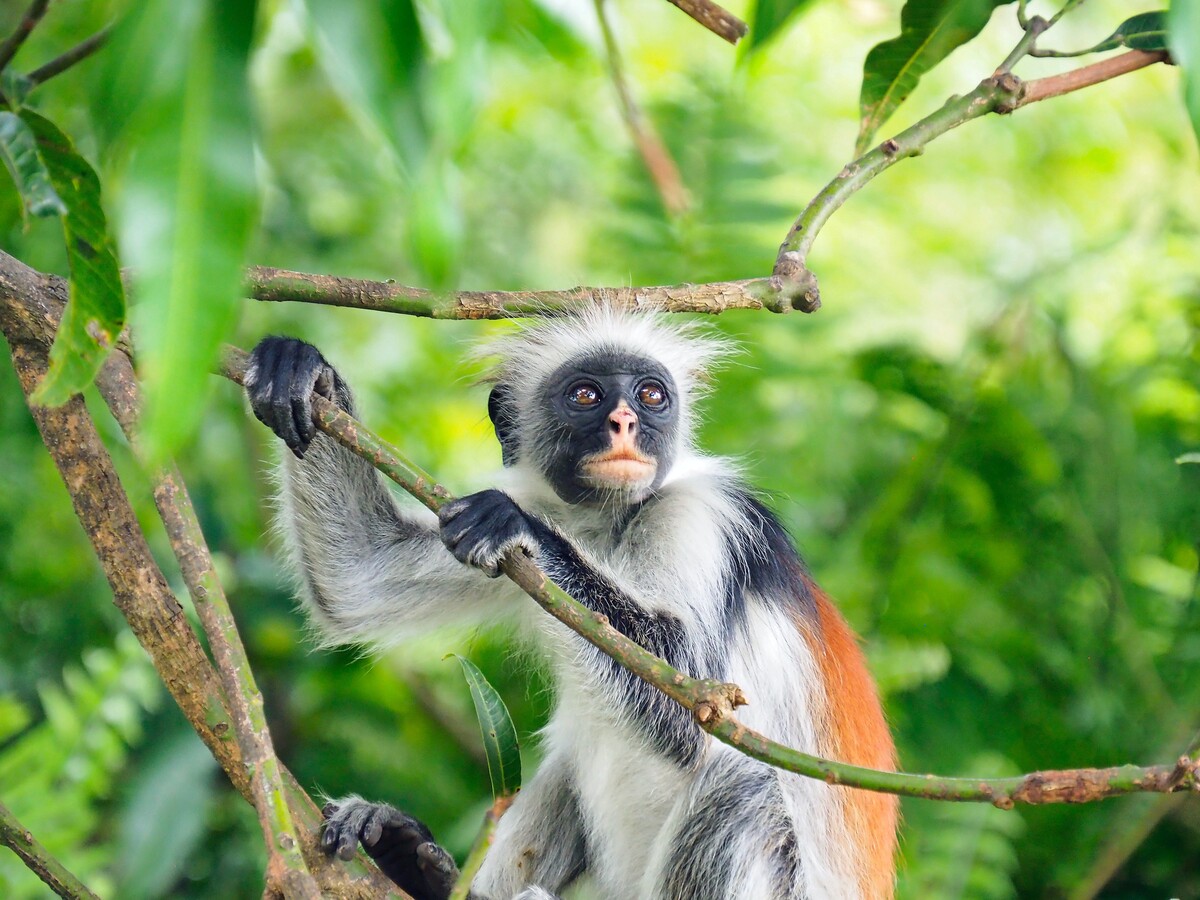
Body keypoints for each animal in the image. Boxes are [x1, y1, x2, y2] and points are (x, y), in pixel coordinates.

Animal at [246, 312, 902, 900]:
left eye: (651, 394)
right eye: (586, 395)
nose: (624, 420)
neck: (610, 526)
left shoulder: (701, 514)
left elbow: (700, 709)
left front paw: (522, 531)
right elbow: (354, 580)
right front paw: (306, 373)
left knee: (747, 786)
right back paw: (425, 870)